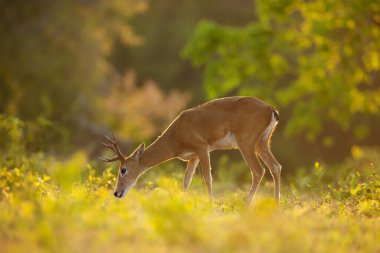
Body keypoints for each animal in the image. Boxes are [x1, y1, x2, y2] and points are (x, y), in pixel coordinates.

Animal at [101, 96, 282, 205]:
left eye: (123, 169)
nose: (117, 193)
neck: (176, 138)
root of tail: (271, 109)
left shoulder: (202, 147)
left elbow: (207, 178)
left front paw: (211, 205)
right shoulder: (192, 156)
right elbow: (186, 180)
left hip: (246, 141)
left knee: (258, 170)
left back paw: (246, 205)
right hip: (262, 142)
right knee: (275, 166)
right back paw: (276, 205)